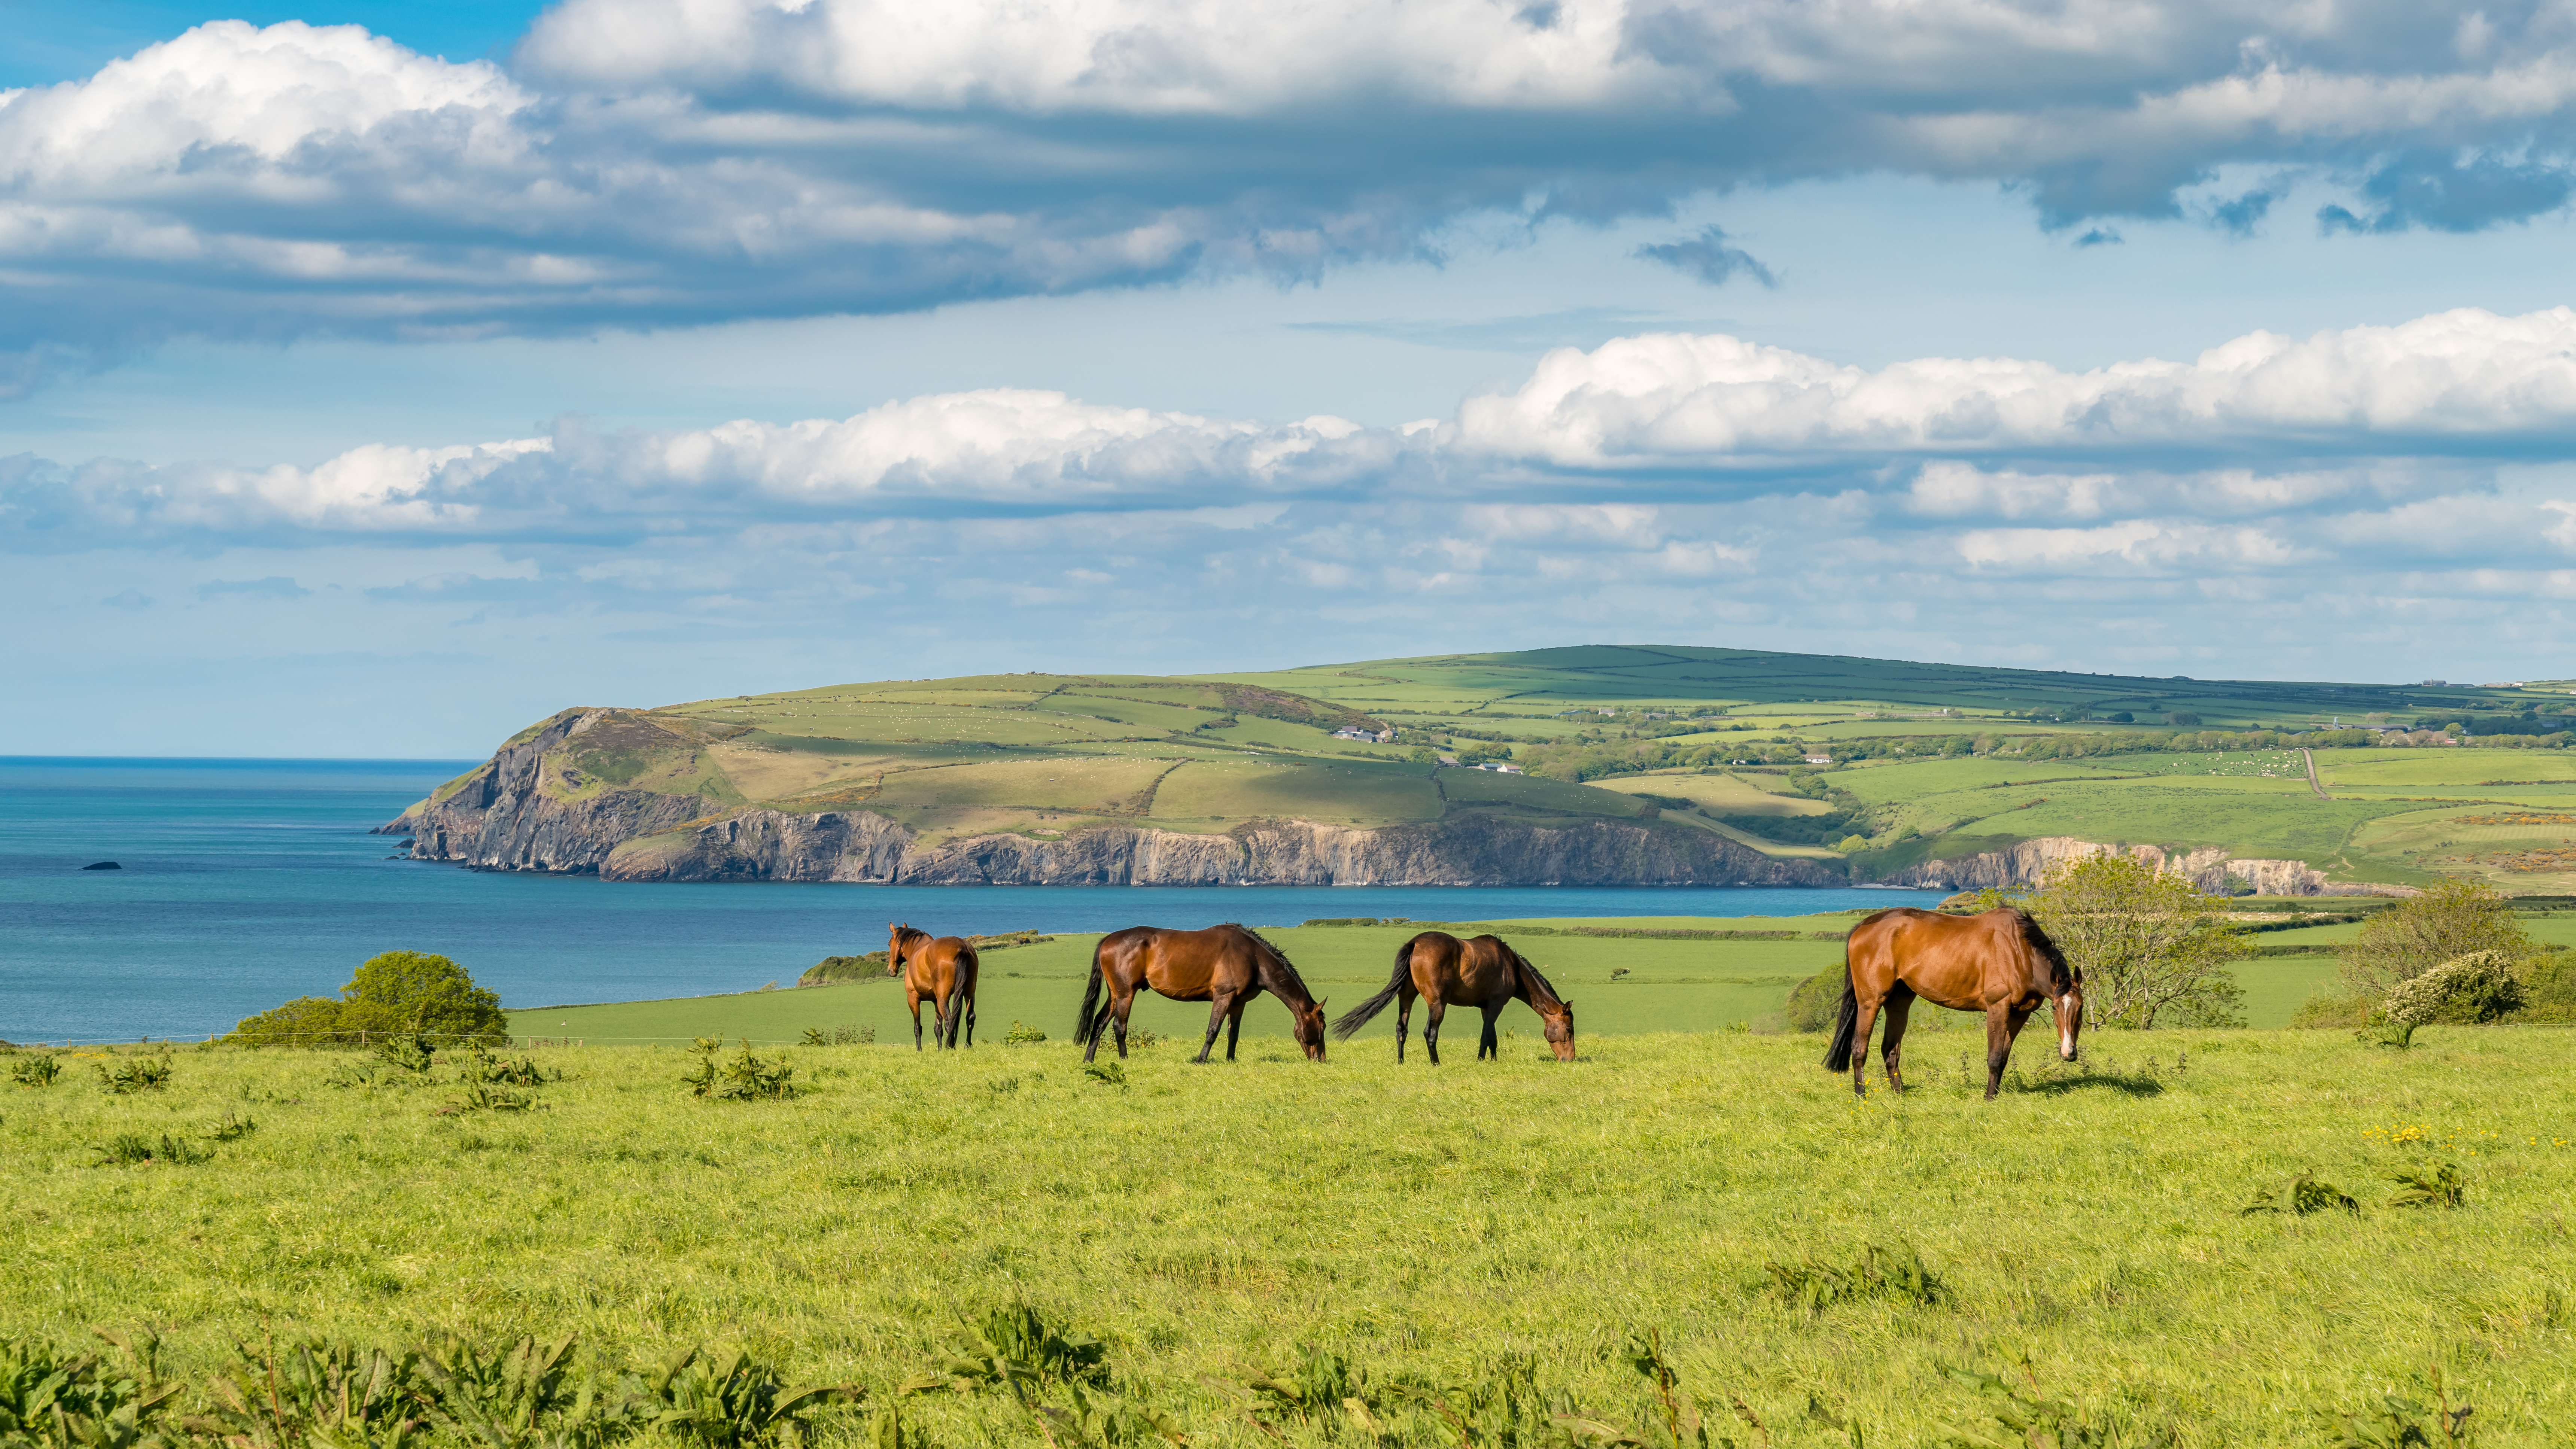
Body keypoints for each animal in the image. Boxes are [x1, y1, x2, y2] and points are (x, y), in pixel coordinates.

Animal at [876, 931, 974, 1055]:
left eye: (889, 944)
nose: (890, 970)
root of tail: (962, 948)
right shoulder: (936, 1001)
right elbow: (938, 1029)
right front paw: (939, 1050)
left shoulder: (913, 999)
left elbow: (918, 1028)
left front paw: (919, 1050)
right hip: (969, 994)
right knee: (970, 1017)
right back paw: (967, 1046)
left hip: (943, 1000)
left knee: (950, 1022)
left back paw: (951, 1048)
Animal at [1077, 931, 1339, 1065]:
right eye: (1323, 1027)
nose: (1322, 1059)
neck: (1253, 957)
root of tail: (1107, 940)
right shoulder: (1223, 997)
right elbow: (1213, 1031)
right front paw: (1201, 1060)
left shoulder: (1238, 1003)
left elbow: (1233, 1034)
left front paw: (1231, 1060)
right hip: (1125, 995)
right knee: (1119, 1026)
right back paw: (1124, 1059)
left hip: (1115, 995)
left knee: (1099, 1023)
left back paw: (1089, 1059)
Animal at [1329, 937, 1566, 1060]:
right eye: (1569, 1029)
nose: (1569, 1058)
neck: (1511, 965)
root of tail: (1415, 943)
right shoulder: (1496, 1005)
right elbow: (1486, 1036)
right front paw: (1482, 1061)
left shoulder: (1487, 1008)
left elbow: (1492, 1037)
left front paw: (1493, 1060)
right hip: (1437, 1004)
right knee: (1430, 1033)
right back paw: (1436, 1063)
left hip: (1406, 998)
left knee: (1401, 1029)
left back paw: (1401, 1061)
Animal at [1824, 906, 2081, 1101]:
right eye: (2056, 1007)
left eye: (2079, 1008)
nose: (2069, 1053)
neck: (2018, 949)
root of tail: (1863, 926)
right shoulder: (1998, 1008)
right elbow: (1994, 1057)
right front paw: (1989, 1099)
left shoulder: (2020, 1014)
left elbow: (2003, 1058)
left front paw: (1995, 1095)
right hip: (1870, 1002)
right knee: (1859, 1048)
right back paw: (1861, 1095)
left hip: (1899, 1003)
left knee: (1890, 1050)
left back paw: (1900, 1095)